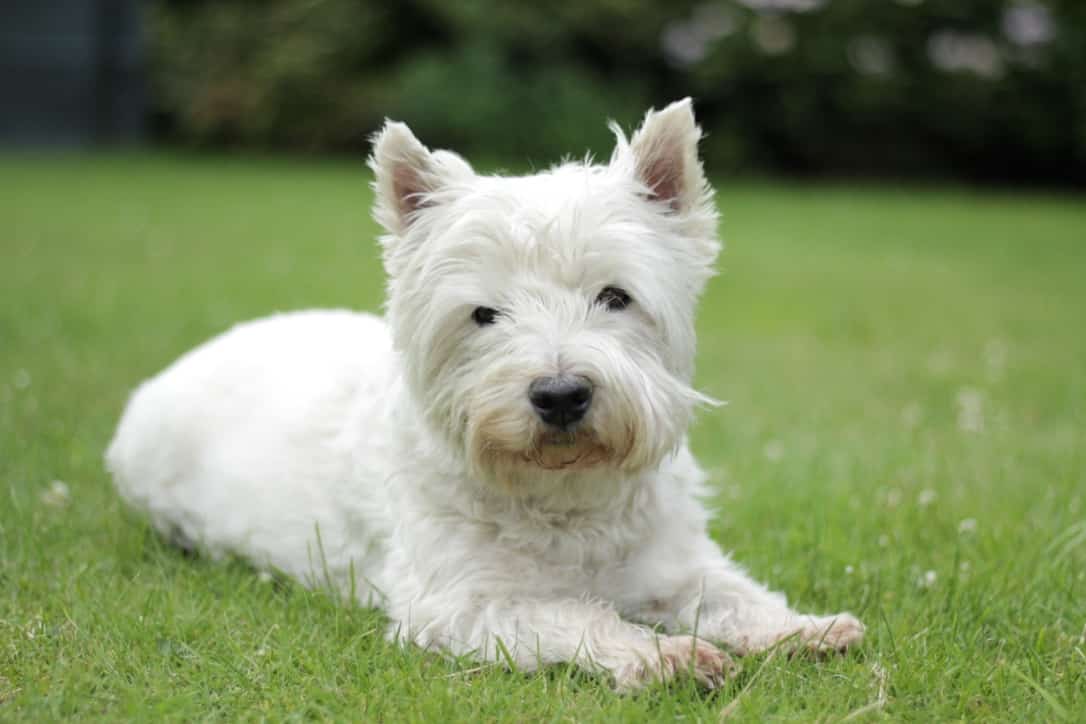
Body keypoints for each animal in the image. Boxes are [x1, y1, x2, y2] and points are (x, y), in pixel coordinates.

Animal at [105, 100, 860, 690]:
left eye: (615, 297)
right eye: (484, 314)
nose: (561, 395)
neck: (564, 496)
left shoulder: (673, 561)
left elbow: (733, 593)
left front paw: (806, 628)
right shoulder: (460, 603)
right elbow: (575, 612)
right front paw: (662, 655)